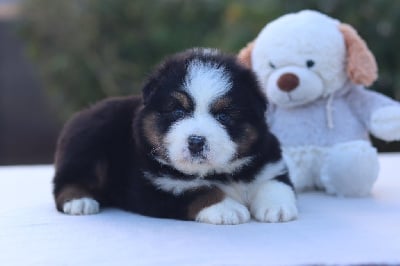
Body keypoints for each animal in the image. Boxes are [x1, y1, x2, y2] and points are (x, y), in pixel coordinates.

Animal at [52, 48, 296, 224]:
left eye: (223, 115)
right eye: (178, 111)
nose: (196, 142)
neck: (220, 174)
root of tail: (84, 113)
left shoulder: (268, 160)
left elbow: (275, 183)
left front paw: (277, 207)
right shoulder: (156, 187)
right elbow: (198, 191)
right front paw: (227, 209)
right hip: (87, 145)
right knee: (65, 182)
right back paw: (80, 201)